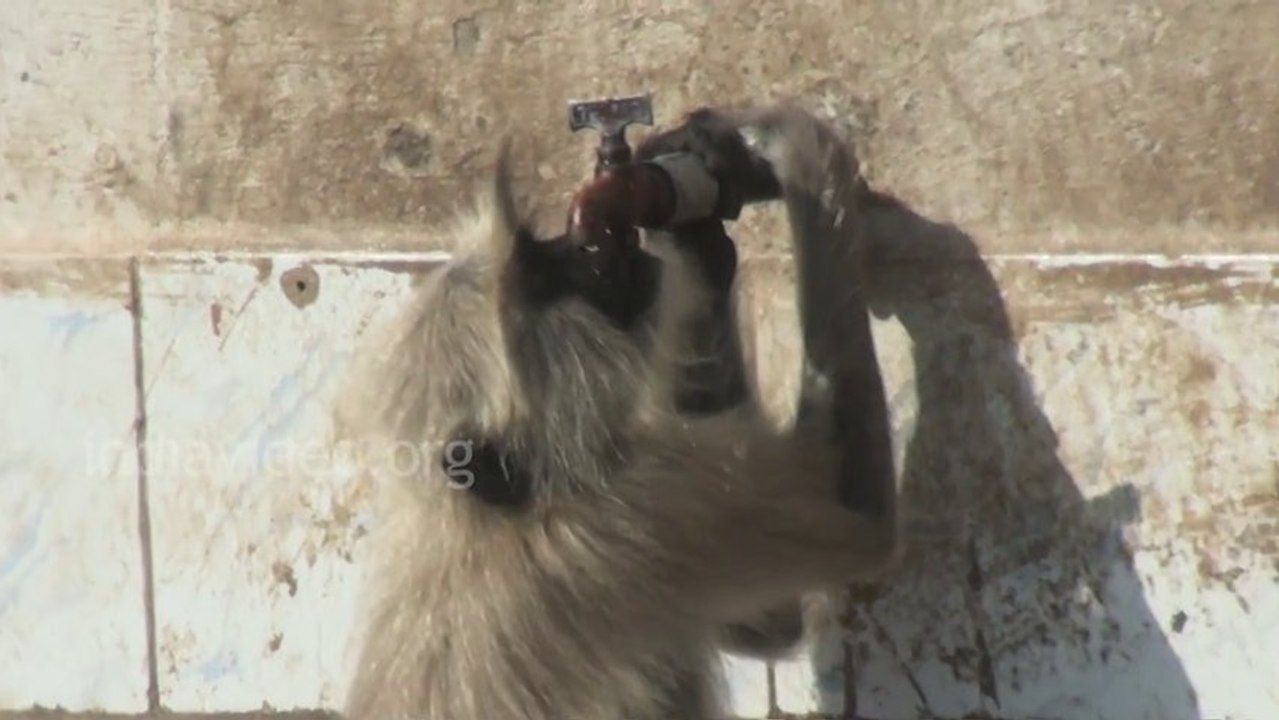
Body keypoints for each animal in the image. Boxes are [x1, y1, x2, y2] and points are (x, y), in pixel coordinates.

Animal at [334, 103, 901, 720]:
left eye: (544, 255)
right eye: (545, 280)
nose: (581, 249)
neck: (477, 522)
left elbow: (763, 624)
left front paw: (693, 232)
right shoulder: (646, 509)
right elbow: (862, 530)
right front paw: (796, 149)